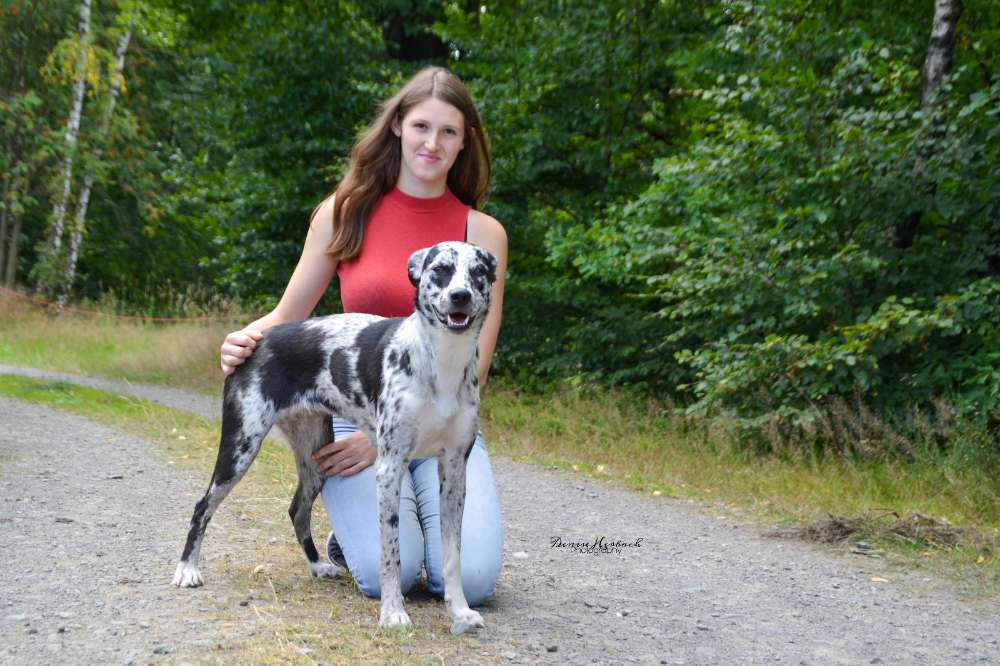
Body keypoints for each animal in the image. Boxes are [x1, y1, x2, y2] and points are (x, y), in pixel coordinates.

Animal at [176, 240, 500, 632]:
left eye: (478, 272)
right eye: (440, 269)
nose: (459, 296)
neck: (442, 365)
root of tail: (259, 339)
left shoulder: (454, 472)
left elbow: (453, 556)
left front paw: (460, 611)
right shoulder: (389, 469)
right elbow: (390, 553)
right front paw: (393, 612)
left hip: (316, 459)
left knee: (297, 510)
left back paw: (317, 564)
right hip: (240, 447)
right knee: (202, 505)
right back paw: (187, 569)